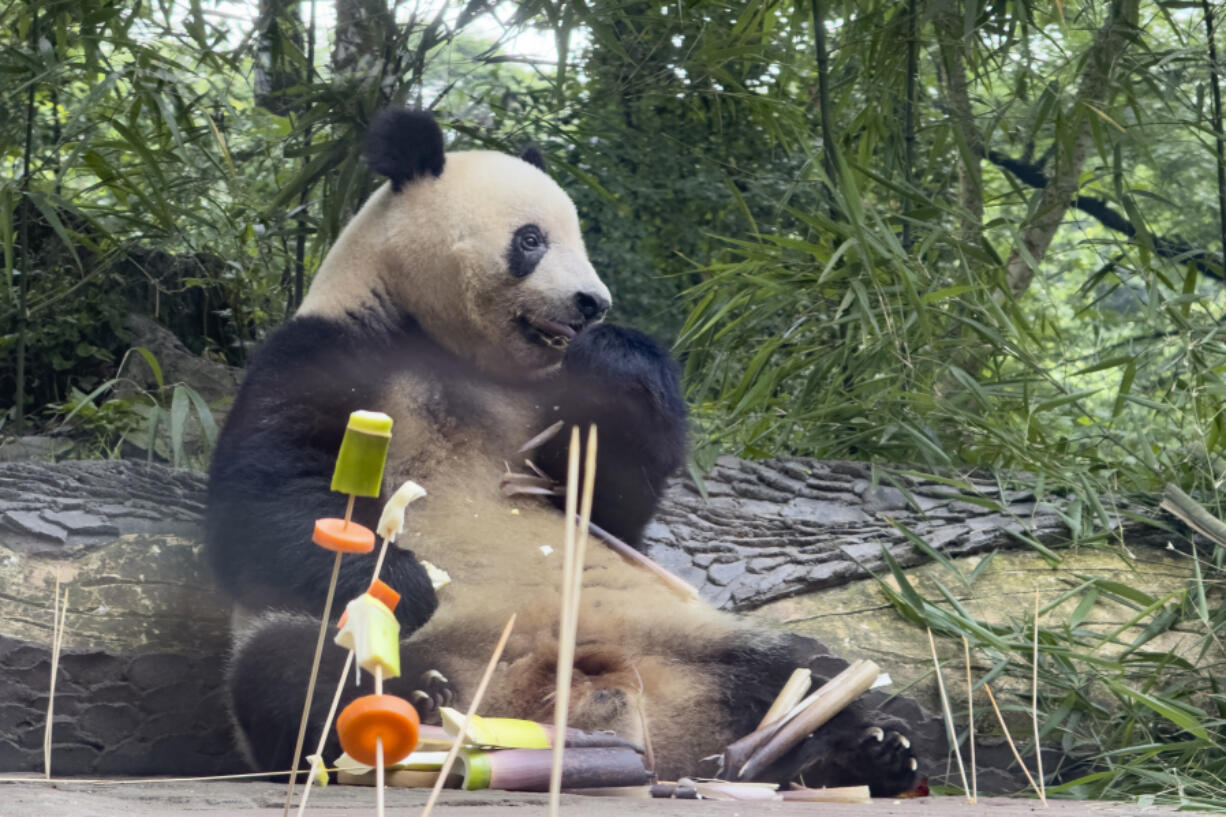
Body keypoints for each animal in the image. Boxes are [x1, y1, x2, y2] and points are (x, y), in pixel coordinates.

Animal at [205, 107, 921, 790]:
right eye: (531, 240)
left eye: (580, 239)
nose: (591, 304)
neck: (446, 345)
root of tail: (550, 711)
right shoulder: (326, 349)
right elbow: (266, 499)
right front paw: (409, 581)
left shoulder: (550, 402)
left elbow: (611, 508)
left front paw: (615, 355)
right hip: (383, 644)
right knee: (289, 665)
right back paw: (414, 704)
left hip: (680, 637)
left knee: (795, 670)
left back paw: (856, 752)